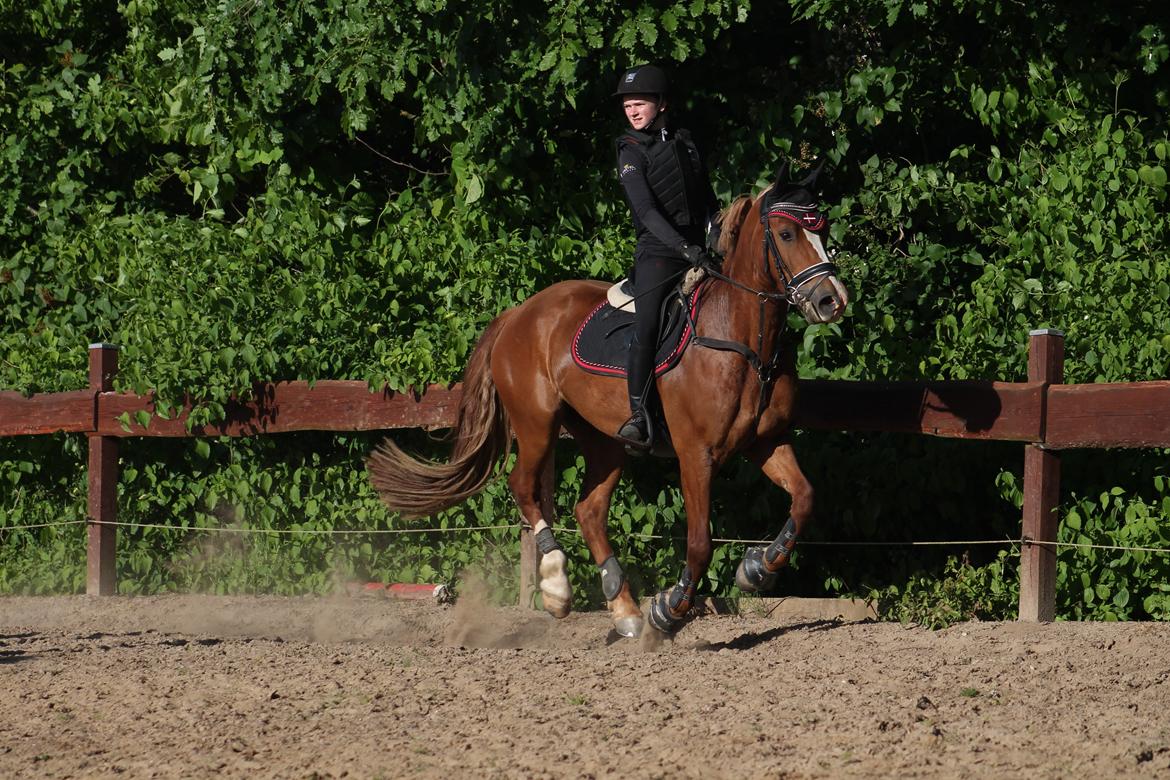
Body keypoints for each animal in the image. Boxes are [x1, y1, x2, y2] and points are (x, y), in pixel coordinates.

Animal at [369, 161, 847, 636]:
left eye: (822, 227)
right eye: (786, 234)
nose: (831, 300)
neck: (743, 341)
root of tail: (518, 313)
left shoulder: (766, 441)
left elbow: (804, 497)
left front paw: (757, 568)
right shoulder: (697, 454)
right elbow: (699, 543)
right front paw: (670, 608)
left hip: (604, 439)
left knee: (589, 510)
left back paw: (624, 607)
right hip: (537, 423)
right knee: (524, 487)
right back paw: (558, 586)